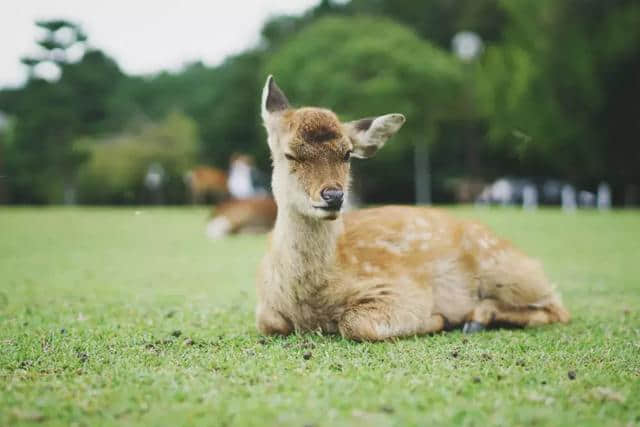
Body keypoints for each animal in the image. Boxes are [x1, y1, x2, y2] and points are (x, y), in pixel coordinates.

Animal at [255, 76, 568, 342]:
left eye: (347, 154)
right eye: (290, 154)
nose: (333, 196)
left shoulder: (402, 289)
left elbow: (355, 323)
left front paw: (440, 319)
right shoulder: (265, 309)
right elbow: (268, 322)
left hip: (509, 271)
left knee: (558, 308)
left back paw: (475, 318)